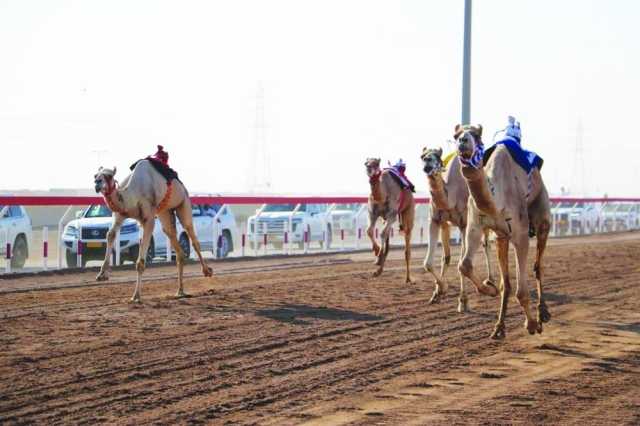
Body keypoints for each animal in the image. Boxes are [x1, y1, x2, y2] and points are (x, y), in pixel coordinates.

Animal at [422, 147, 492, 312]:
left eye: (437, 156)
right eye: (423, 156)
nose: (427, 164)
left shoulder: (464, 224)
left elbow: (461, 262)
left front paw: (463, 301)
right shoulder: (435, 221)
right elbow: (430, 262)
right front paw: (439, 291)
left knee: (487, 245)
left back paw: (490, 281)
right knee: (446, 257)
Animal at [456, 124, 556, 340]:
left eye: (476, 135)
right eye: (456, 135)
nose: (463, 141)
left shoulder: (520, 234)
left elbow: (521, 291)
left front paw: (532, 324)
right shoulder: (476, 226)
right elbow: (464, 265)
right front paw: (489, 289)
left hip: (542, 216)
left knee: (538, 265)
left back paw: (543, 313)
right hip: (502, 237)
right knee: (507, 283)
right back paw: (499, 327)